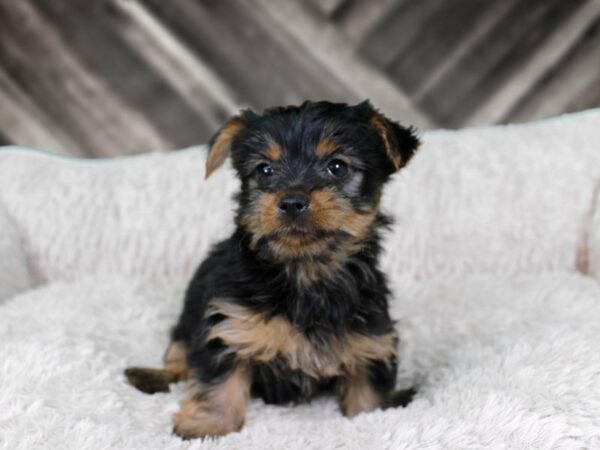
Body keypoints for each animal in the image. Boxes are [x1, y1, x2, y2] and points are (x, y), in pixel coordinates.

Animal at [124, 100, 420, 438]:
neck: (304, 270)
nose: (291, 201)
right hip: (187, 322)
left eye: (337, 166)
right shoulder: (227, 328)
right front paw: (207, 426)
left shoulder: (371, 341)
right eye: (265, 169)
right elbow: (218, 383)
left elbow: (367, 396)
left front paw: (372, 420)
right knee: (178, 360)